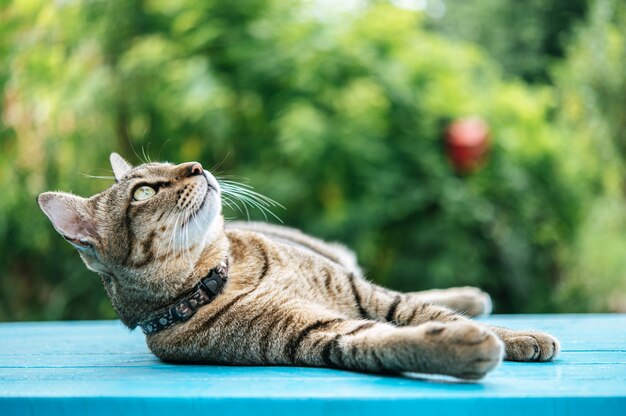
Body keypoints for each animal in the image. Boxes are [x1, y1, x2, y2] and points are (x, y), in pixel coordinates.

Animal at [36, 154, 560, 380]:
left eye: (170, 162)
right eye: (143, 191)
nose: (196, 166)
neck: (223, 272)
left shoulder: (362, 293)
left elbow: (417, 311)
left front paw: (517, 335)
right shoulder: (318, 335)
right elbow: (386, 340)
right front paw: (462, 346)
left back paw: (474, 297)